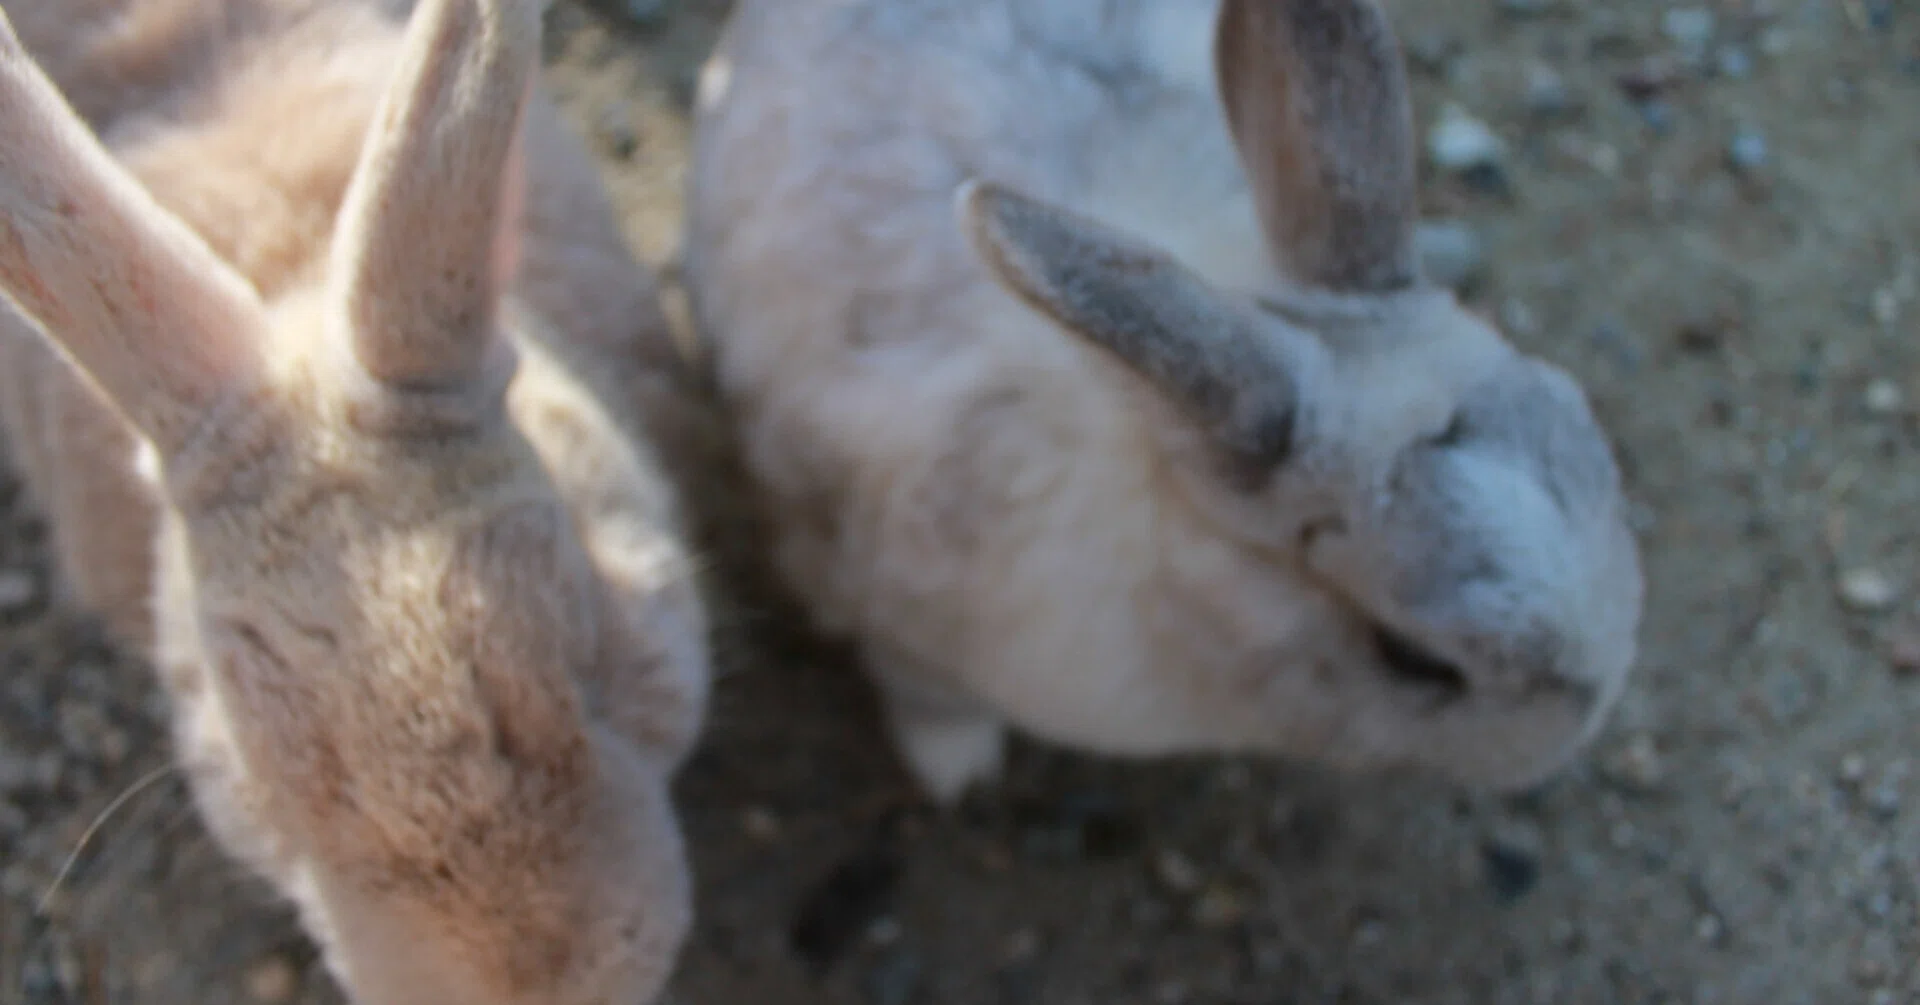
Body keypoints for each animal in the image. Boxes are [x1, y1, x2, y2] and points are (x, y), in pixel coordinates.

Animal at [681, 0, 1644, 806]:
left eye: (1587, 422)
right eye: (1414, 657)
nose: (1582, 728)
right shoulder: (884, 605)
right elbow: (923, 696)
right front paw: (958, 772)